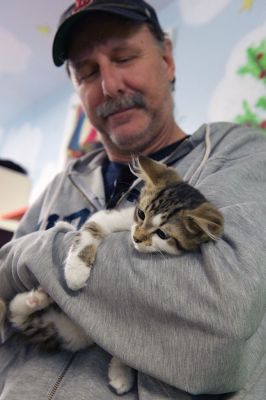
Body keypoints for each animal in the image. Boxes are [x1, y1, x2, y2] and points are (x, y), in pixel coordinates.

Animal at [0, 156, 223, 394]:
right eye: (141, 214)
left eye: (162, 234)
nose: (136, 237)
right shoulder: (112, 218)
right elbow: (90, 231)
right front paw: (76, 272)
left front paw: (121, 371)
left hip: (72, 334)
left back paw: (37, 300)